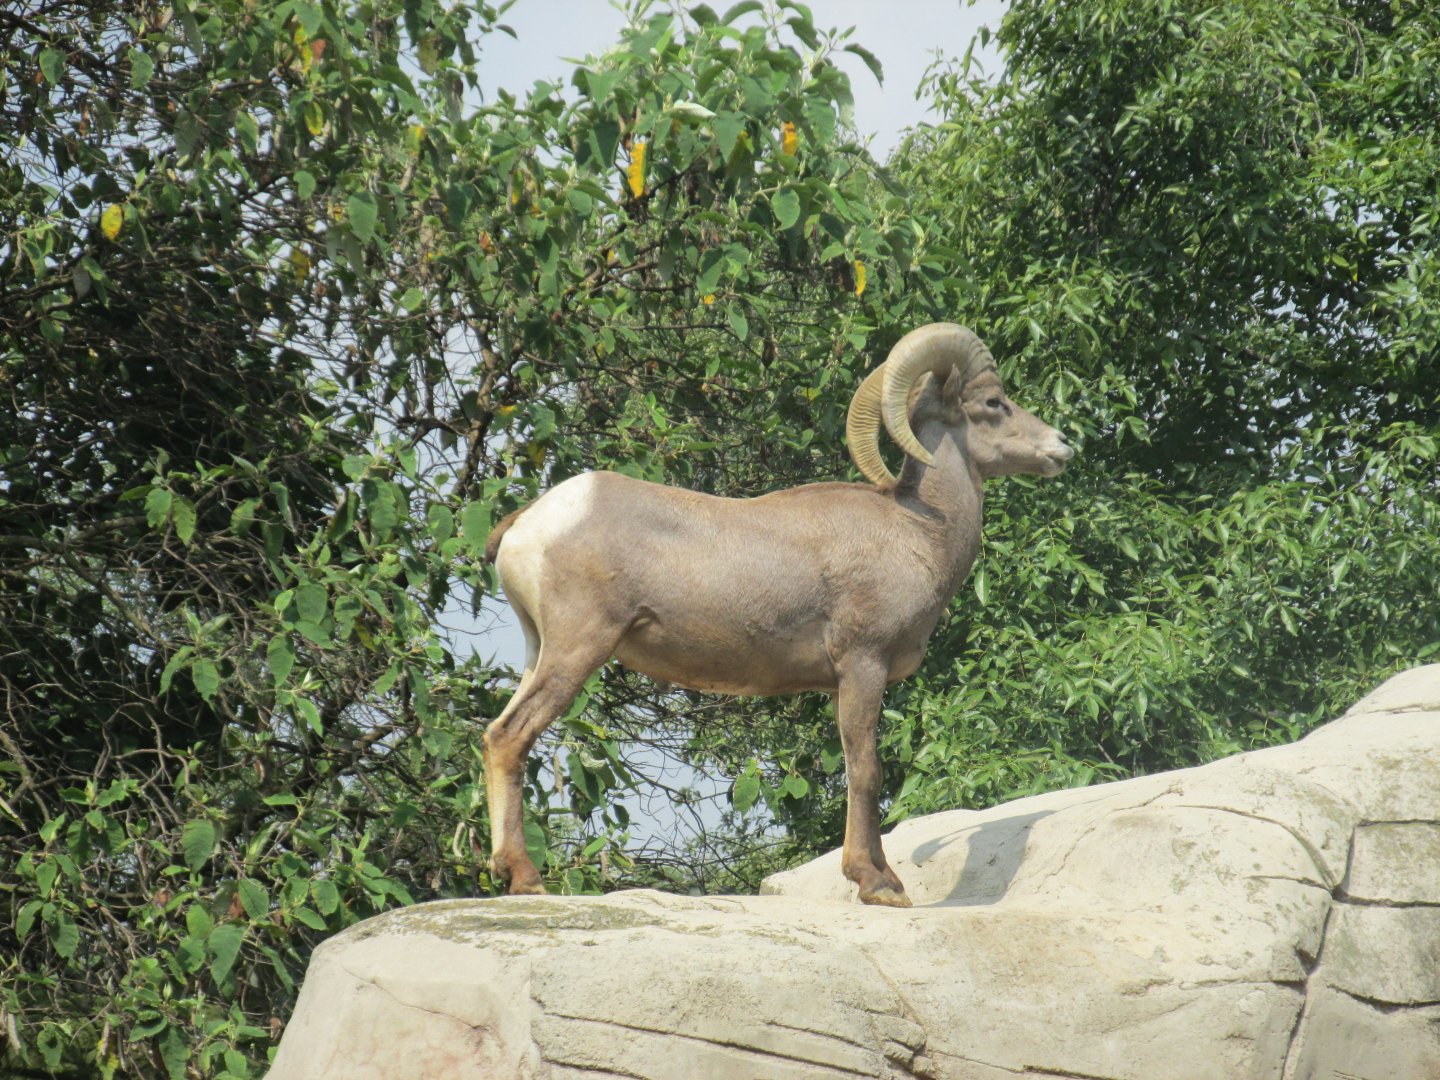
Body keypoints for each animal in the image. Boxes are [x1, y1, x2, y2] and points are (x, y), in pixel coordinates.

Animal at [481, 323, 1073, 906]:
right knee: (511, 736)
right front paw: (876, 884)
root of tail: (528, 523)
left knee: (495, 734)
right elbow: (867, 770)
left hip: (540, 651)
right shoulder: (862, 666)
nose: (1062, 447)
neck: (919, 530)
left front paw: (888, 879)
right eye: (994, 403)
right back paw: (526, 879)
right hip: (577, 649)